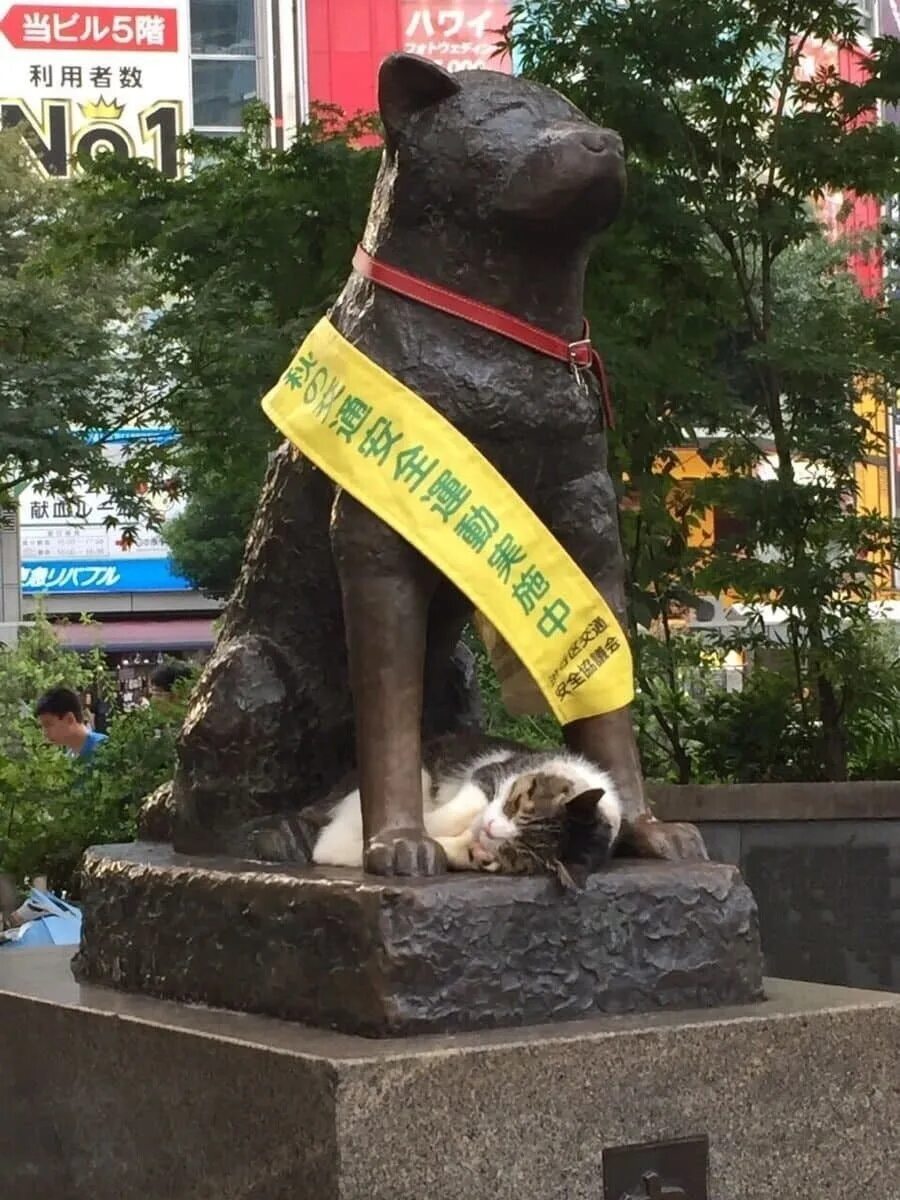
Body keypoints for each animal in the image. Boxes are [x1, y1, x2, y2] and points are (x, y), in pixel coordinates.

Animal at [309, 729, 619, 883]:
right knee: (327, 843)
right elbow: (456, 810)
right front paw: (420, 829)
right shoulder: (490, 773)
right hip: (416, 774)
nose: (490, 829)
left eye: (512, 851)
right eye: (516, 805)